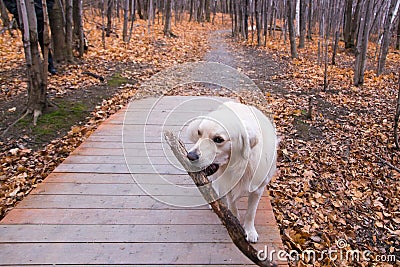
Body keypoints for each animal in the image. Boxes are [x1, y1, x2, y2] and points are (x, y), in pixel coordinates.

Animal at [184, 101, 278, 244]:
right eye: (199, 133)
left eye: (218, 139)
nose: (190, 156)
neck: (241, 166)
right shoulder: (228, 185)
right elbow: (232, 206)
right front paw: (235, 222)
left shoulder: (257, 190)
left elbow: (251, 213)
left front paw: (250, 231)